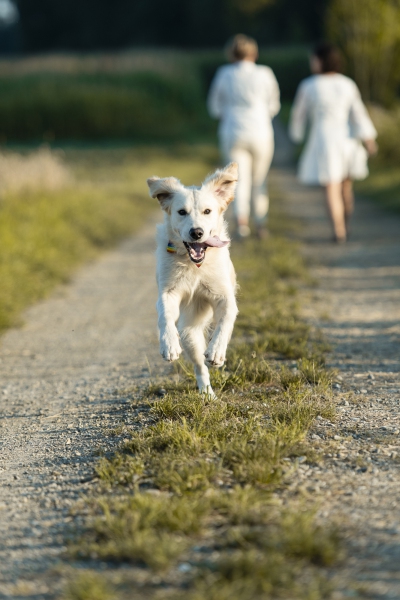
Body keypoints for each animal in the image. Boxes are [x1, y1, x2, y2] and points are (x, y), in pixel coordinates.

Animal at [148, 162, 239, 396]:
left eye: (207, 211)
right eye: (182, 212)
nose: (196, 232)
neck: (195, 265)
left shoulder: (224, 296)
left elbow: (225, 321)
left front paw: (216, 351)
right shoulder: (168, 292)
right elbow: (165, 316)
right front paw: (169, 345)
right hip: (189, 334)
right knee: (200, 366)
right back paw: (206, 392)